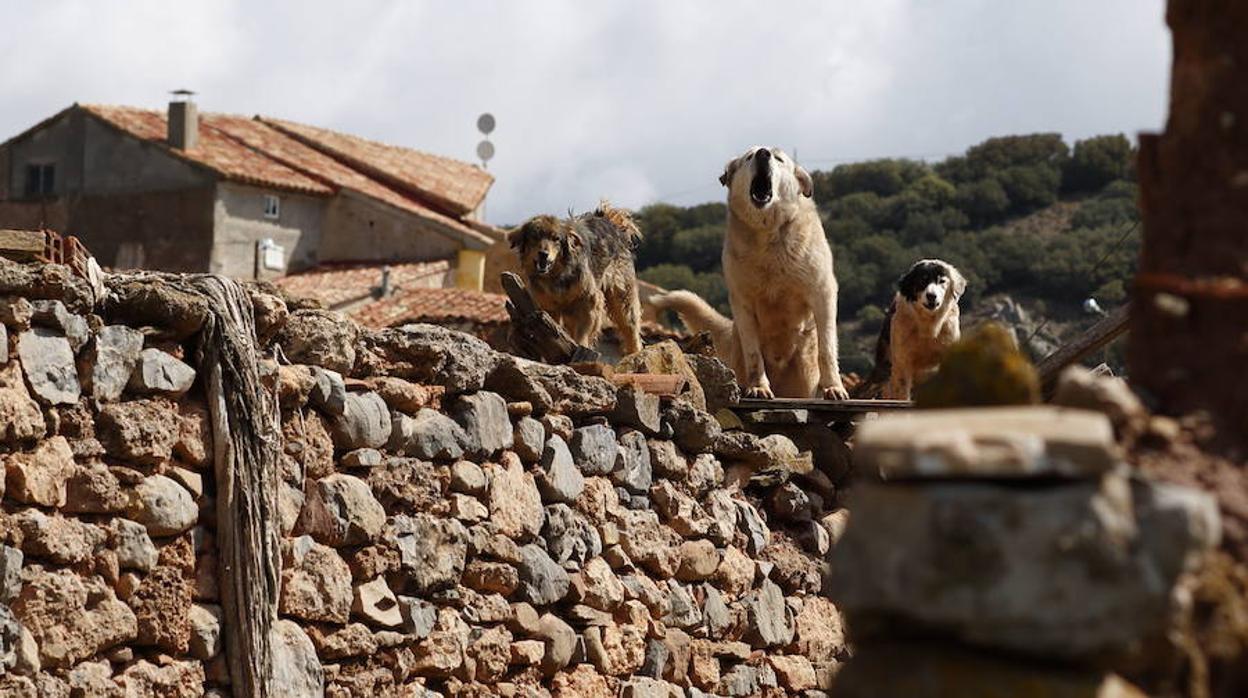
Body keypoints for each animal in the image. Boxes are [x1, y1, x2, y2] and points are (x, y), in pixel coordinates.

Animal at [506, 201, 643, 354]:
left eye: (556, 239)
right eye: (534, 237)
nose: (543, 254)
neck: (556, 276)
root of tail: (610, 221)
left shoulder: (589, 301)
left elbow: (582, 333)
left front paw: (582, 346)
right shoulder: (549, 308)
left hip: (622, 299)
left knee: (631, 330)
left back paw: (635, 353)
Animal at [648, 146, 853, 399]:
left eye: (779, 158)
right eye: (749, 157)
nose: (763, 153)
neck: (768, 235)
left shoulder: (823, 293)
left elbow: (827, 348)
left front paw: (834, 387)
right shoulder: (742, 301)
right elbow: (754, 353)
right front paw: (759, 387)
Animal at [863, 258, 968, 402]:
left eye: (942, 281)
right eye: (922, 281)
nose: (931, 296)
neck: (928, 324)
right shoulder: (902, 360)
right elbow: (901, 392)